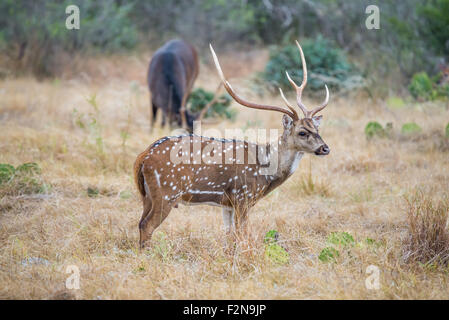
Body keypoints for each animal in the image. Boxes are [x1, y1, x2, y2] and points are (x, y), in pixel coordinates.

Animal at [133, 41, 328, 249]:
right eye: (302, 132)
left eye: (317, 128)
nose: (325, 148)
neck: (267, 171)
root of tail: (143, 157)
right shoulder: (243, 196)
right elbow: (243, 234)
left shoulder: (227, 204)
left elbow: (230, 235)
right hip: (167, 191)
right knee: (147, 225)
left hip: (147, 195)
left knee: (140, 222)